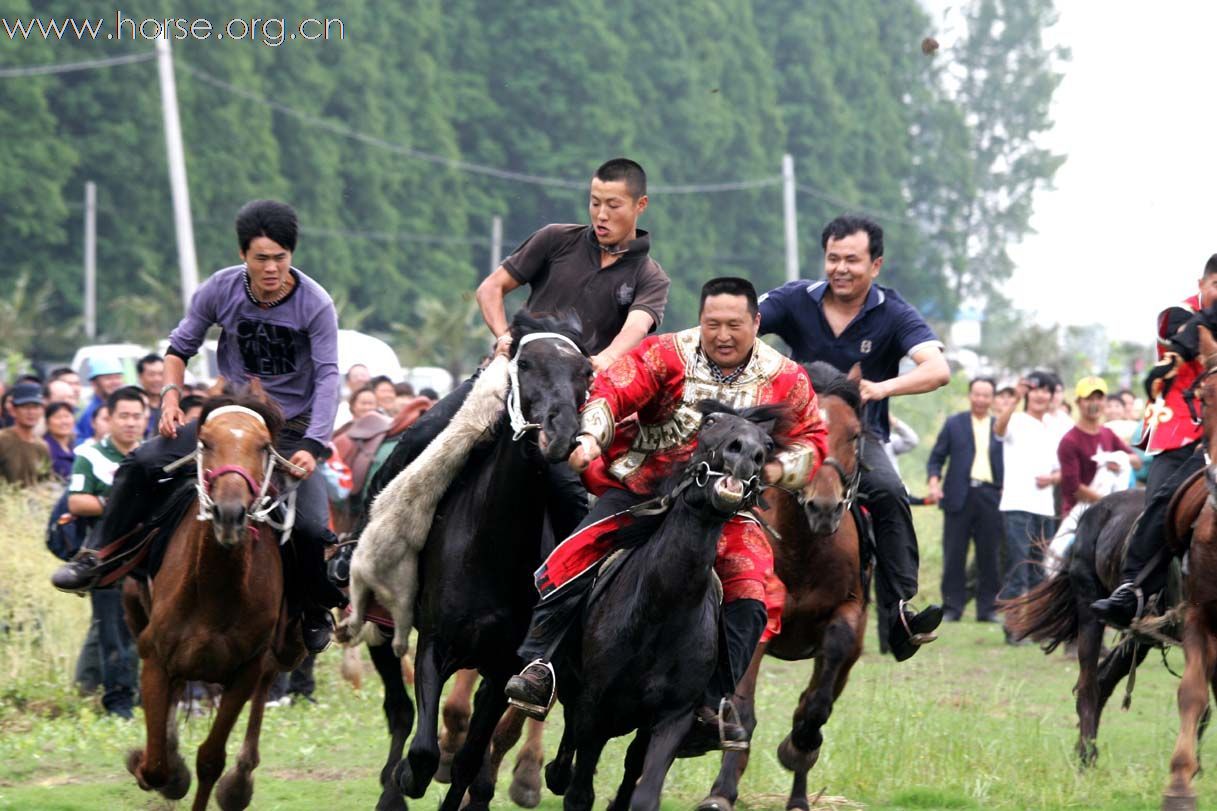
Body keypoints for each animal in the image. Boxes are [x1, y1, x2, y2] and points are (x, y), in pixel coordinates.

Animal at [121, 387, 306, 808]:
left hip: (285, 648)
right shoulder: (155, 658)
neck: (212, 591)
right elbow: (155, 766)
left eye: (264, 447)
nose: (229, 513)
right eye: (205, 442)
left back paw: (240, 780)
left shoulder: (244, 671)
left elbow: (209, 759)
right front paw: (154, 764)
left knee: (267, 683)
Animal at [545, 399, 778, 808]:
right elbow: (580, 790)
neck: (660, 611)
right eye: (710, 422)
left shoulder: (673, 718)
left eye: (766, 443)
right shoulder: (595, 707)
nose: (747, 453)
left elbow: (644, 791)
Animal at [696, 362, 876, 808]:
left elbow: (816, 703)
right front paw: (722, 791)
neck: (803, 549)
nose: (824, 508)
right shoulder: (755, 620)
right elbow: (742, 708)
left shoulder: (850, 618)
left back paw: (798, 795)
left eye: (855, 435)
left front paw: (798, 746)